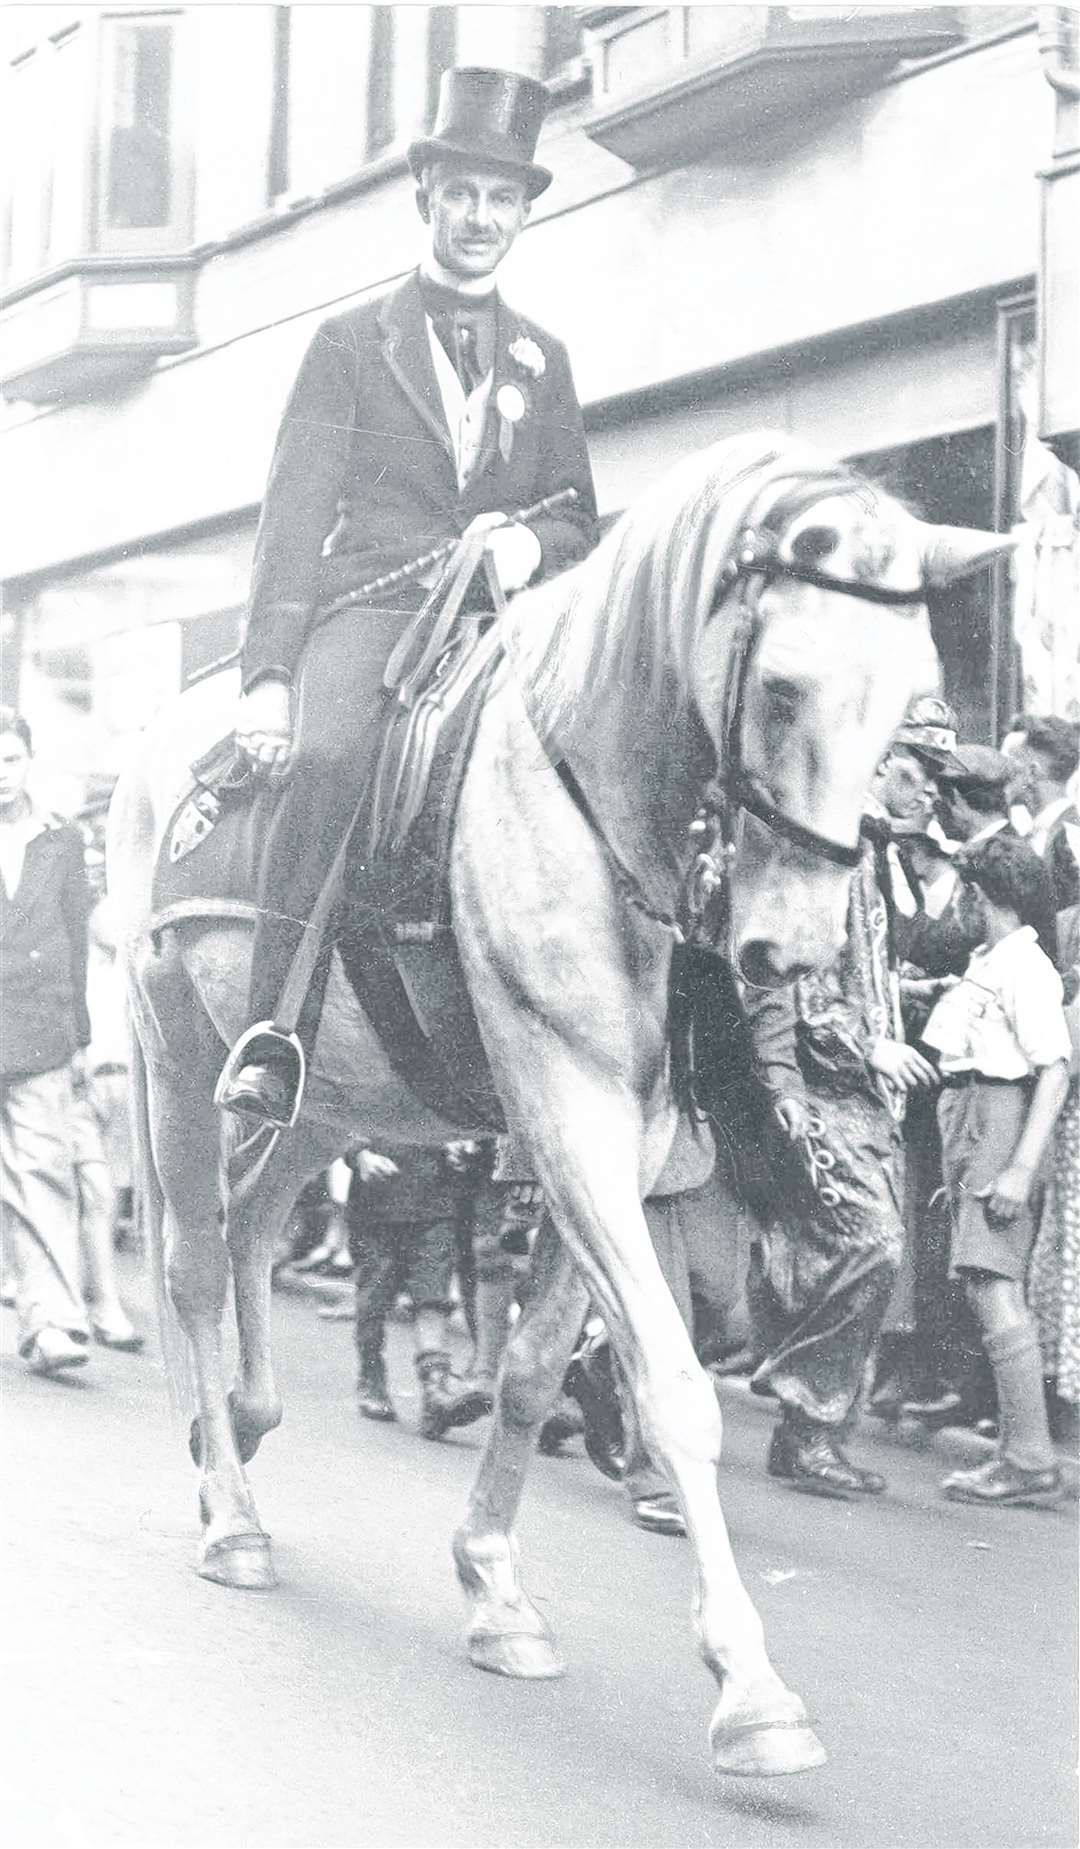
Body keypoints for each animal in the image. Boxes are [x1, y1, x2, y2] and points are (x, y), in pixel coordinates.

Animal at [107, 432, 1006, 1775]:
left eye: (910, 698)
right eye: (785, 688)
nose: (795, 950)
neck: (595, 798)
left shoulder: (629, 1141)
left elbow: (534, 1367)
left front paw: (495, 1589)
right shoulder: (568, 1112)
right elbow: (673, 1383)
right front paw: (752, 1690)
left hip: (331, 1100)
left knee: (259, 1218)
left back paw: (249, 1428)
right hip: (171, 1054)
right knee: (197, 1261)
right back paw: (229, 1510)